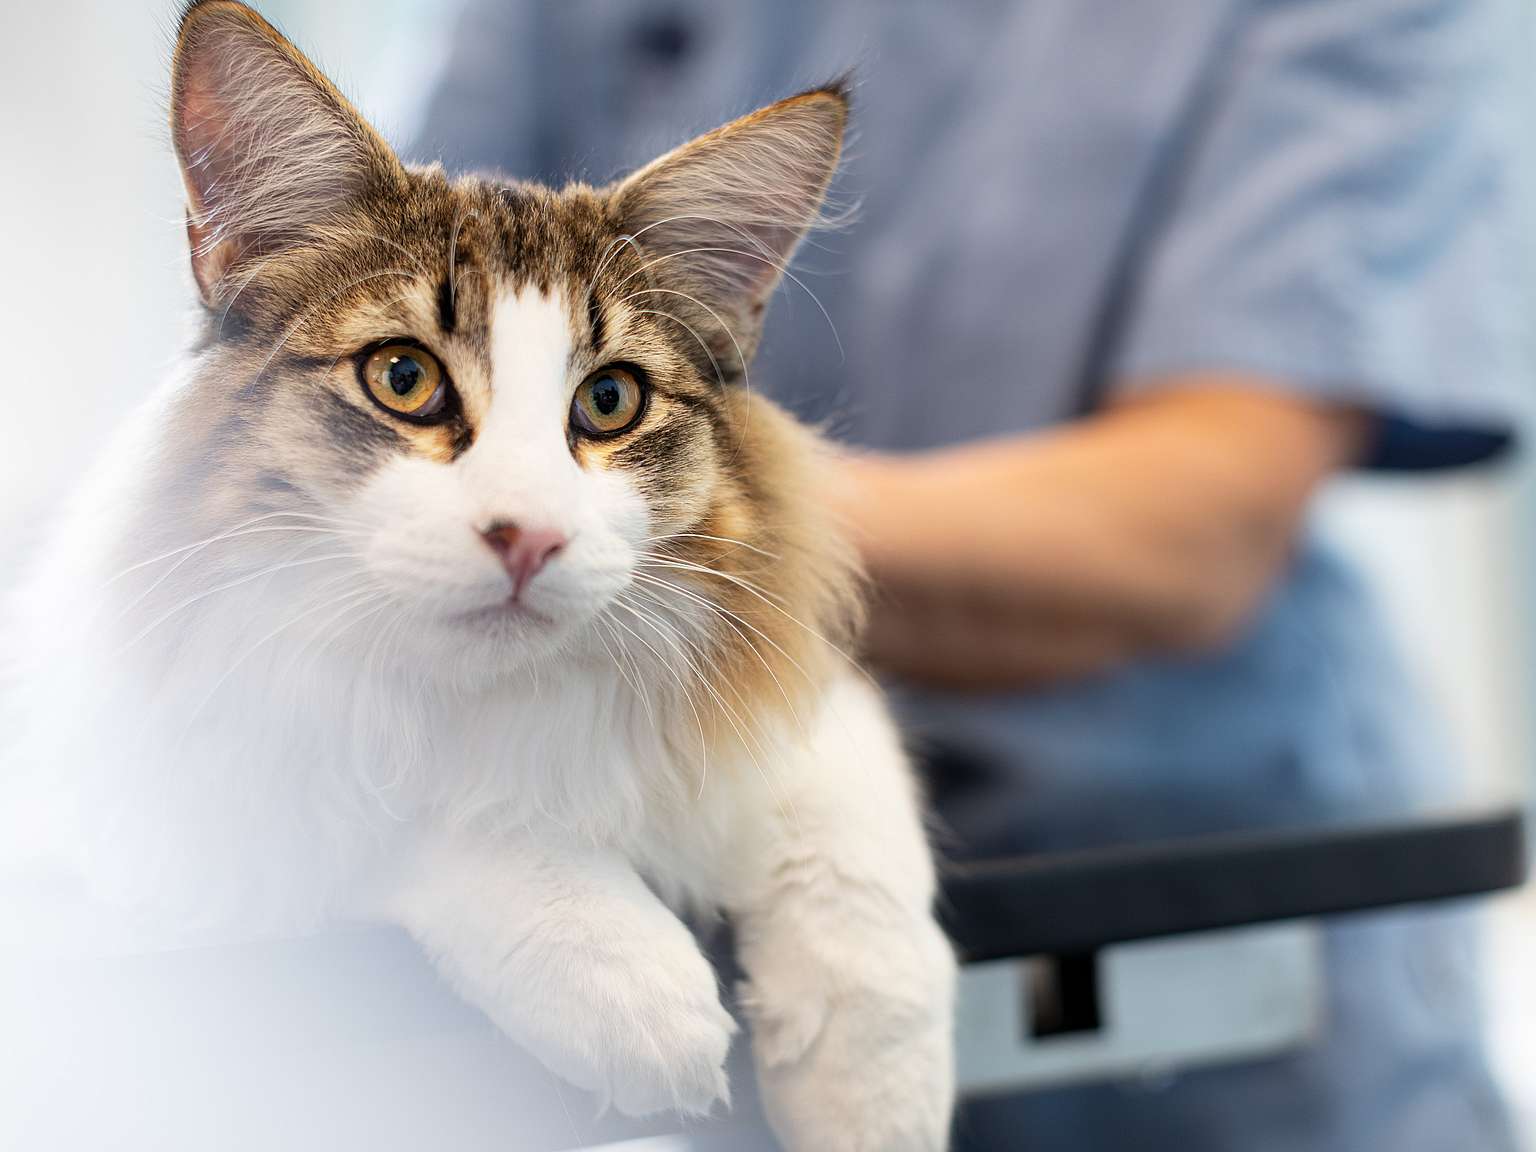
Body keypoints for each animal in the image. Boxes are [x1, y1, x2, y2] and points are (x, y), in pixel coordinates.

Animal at [6, 4, 952, 1148]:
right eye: (404, 378)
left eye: (609, 402)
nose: (529, 537)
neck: (506, 704)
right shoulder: (144, 793)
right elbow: (390, 805)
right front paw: (632, 978)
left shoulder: (790, 676)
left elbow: (859, 883)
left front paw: (875, 1098)